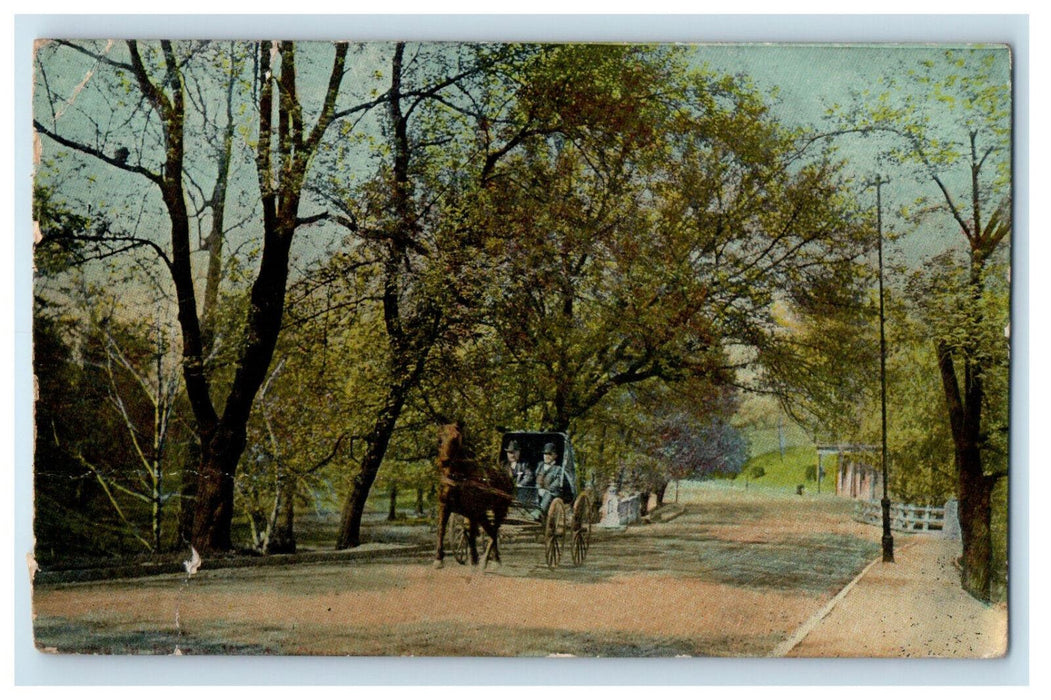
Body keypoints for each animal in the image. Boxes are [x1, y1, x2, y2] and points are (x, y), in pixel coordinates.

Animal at [435, 420, 512, 567]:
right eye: (440, 439)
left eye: (456, 439)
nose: (444, 461)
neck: (458, 477)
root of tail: (505, 475)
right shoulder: (445, 506)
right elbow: (442, 530)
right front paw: (438, 559)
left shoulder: (472, 511)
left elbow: (471, 534)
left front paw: (475, 559)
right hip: (483, 513)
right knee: (489, 530)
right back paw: (490, 558)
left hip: (499, 510)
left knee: (494, 532)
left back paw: (491, 559)